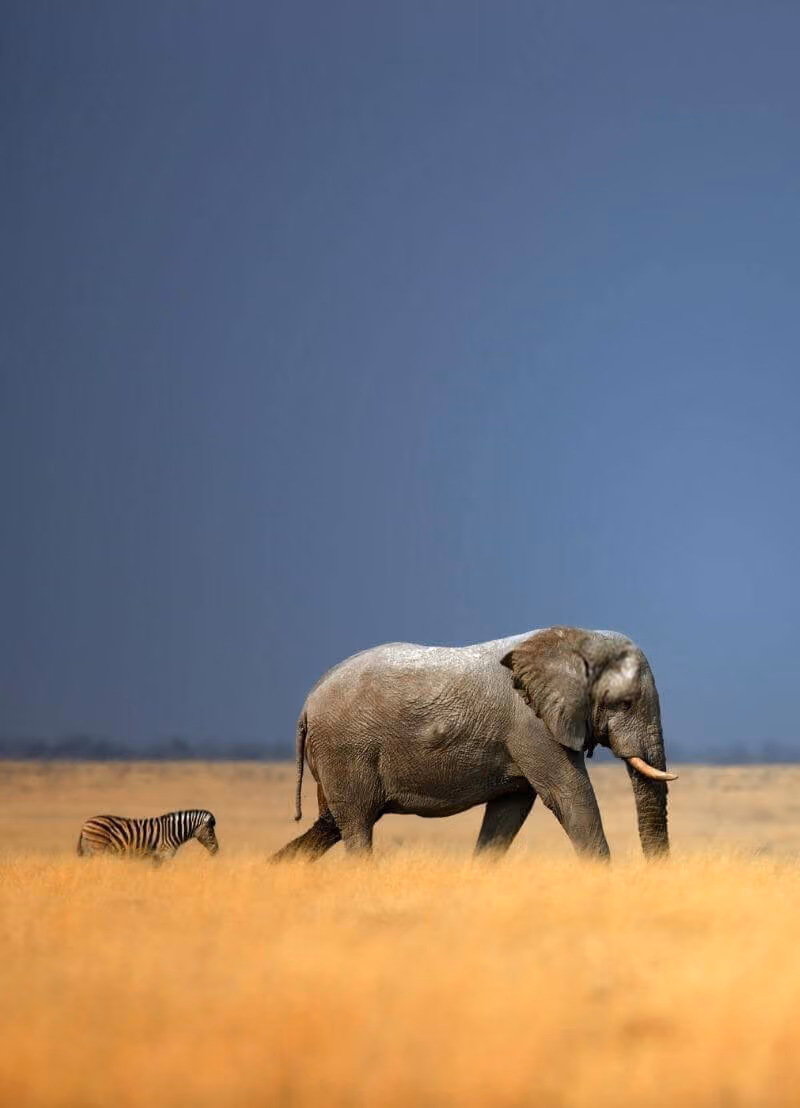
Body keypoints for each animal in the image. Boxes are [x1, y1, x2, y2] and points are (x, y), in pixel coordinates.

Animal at [77, 809, 219, 862]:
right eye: (211, 833)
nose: (216, 850)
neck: (173, 831)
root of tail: (85, 823)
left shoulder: (157, 857)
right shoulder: (165, 854)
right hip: (98, 848)